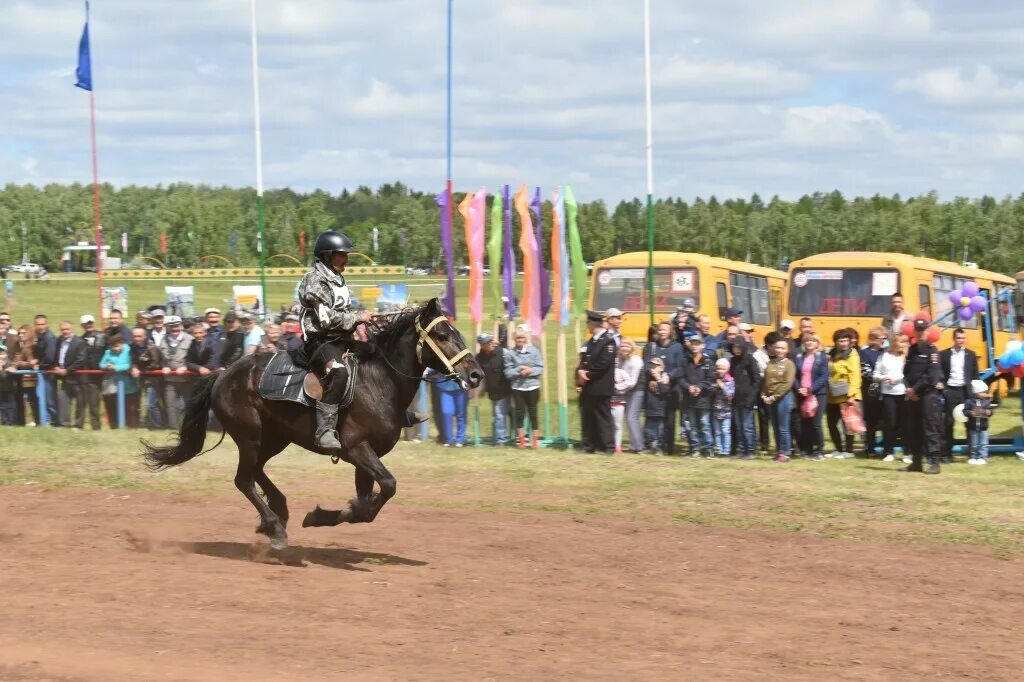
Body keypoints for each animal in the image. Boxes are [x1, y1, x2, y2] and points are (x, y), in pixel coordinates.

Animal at [141, 296, 487, 548]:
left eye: (457, 333)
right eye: (443, 335)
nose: (476, 375)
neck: (379, 382)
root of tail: (223, 374)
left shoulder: (366, 457)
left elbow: (367, 503)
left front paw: (329, 515)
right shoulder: (357, 449)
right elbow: (387, 486)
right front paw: (326, 515)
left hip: (274, 438)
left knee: (256, 473)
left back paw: (278, 510)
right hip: (250, 437)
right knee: (244, 480)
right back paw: (275, 527)